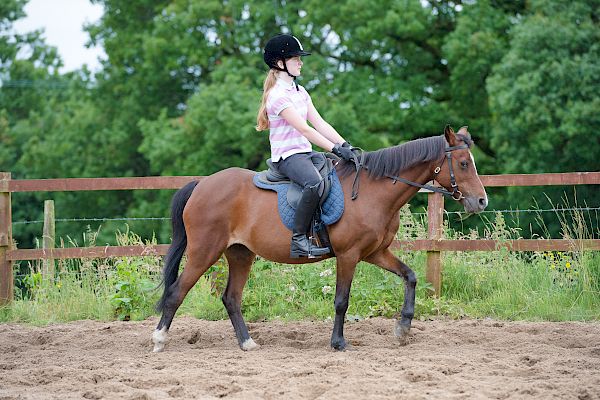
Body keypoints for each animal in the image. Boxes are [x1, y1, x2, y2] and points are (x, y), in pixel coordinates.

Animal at [150, 126, 488, 354]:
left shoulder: (376, 252)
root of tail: (201, 184)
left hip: (240, 254)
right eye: (463, 163)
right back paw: (158, 340)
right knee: (177, 292)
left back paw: (248, 343)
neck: (372, 192)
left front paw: (403, 328)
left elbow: (411, 276)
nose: (482, 201)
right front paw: (338, 342)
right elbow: (341, 301)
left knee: (231, 298)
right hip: (204, 252)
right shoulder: (349, 255)